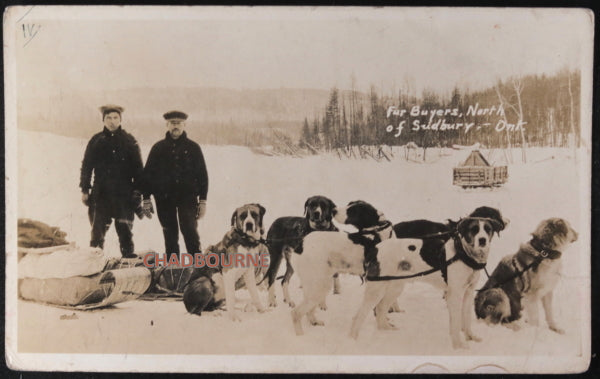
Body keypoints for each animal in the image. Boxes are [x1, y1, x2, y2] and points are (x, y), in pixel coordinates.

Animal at [290, 200, 422, 336]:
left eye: (352, 210)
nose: (333, 210)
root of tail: (300, 245)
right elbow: (380, 310)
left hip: (316, 285)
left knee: (308, 311)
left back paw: (314, 322)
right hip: (320, 285)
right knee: (296, 313)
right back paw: (300, 335)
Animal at [350, 208, 508, 350]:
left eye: (487, 229)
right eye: (474, 229)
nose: (482, 240)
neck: (463, 252)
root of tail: (375, 248)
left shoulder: (468, 293)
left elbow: (466, 319)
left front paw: (470, 337)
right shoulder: (454, 294)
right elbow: (456, 323)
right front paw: (458, 345)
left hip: (394, 287)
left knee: (381, 308)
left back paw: (386, 330)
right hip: (376, 290)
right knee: (359, 315)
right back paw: (353, 340)